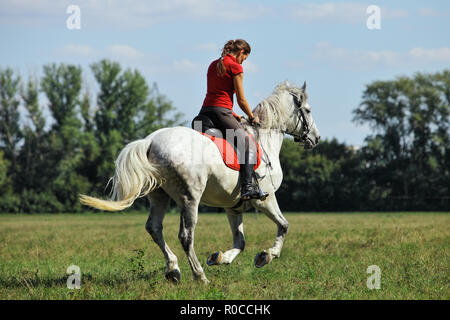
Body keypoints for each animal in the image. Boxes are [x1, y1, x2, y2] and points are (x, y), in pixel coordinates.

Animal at [81, 81, 320, 284]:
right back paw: (200, 276)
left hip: (159, 196)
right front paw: (267, 256)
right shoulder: (265, 199)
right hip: (190, 198)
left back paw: (173, 270)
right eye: (308, 111)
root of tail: (150, 141)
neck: (265, 139)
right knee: (186, 236)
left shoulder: (233, 207)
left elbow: (240, 242)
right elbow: (284, 225)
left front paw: (220, 258)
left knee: (154, 228)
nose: (315, 139)